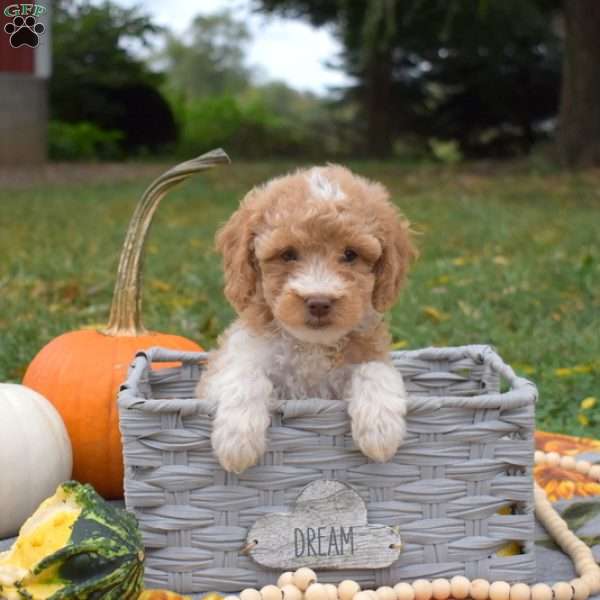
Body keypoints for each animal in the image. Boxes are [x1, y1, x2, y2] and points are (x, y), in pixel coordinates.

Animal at [198, 164, 418, 474]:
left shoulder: (369, 356)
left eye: (350, 254)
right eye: (288, 254)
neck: (311, 345)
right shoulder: (225, 367)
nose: (319, 302)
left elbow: (374, 370)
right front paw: (237, 440)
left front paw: (380, 429)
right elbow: (245, 374)